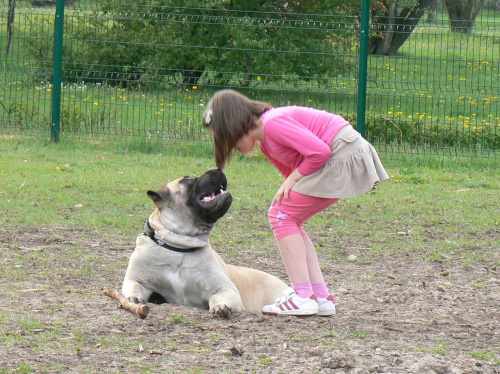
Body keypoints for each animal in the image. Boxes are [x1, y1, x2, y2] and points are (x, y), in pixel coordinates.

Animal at [117, 168, 288, 318]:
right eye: (187, 179)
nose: (218, 168)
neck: (180, 247)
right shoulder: (137, 279)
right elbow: (134, 286)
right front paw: (133, 298)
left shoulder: (225, 289)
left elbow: (217, 297)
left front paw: (220, 306)